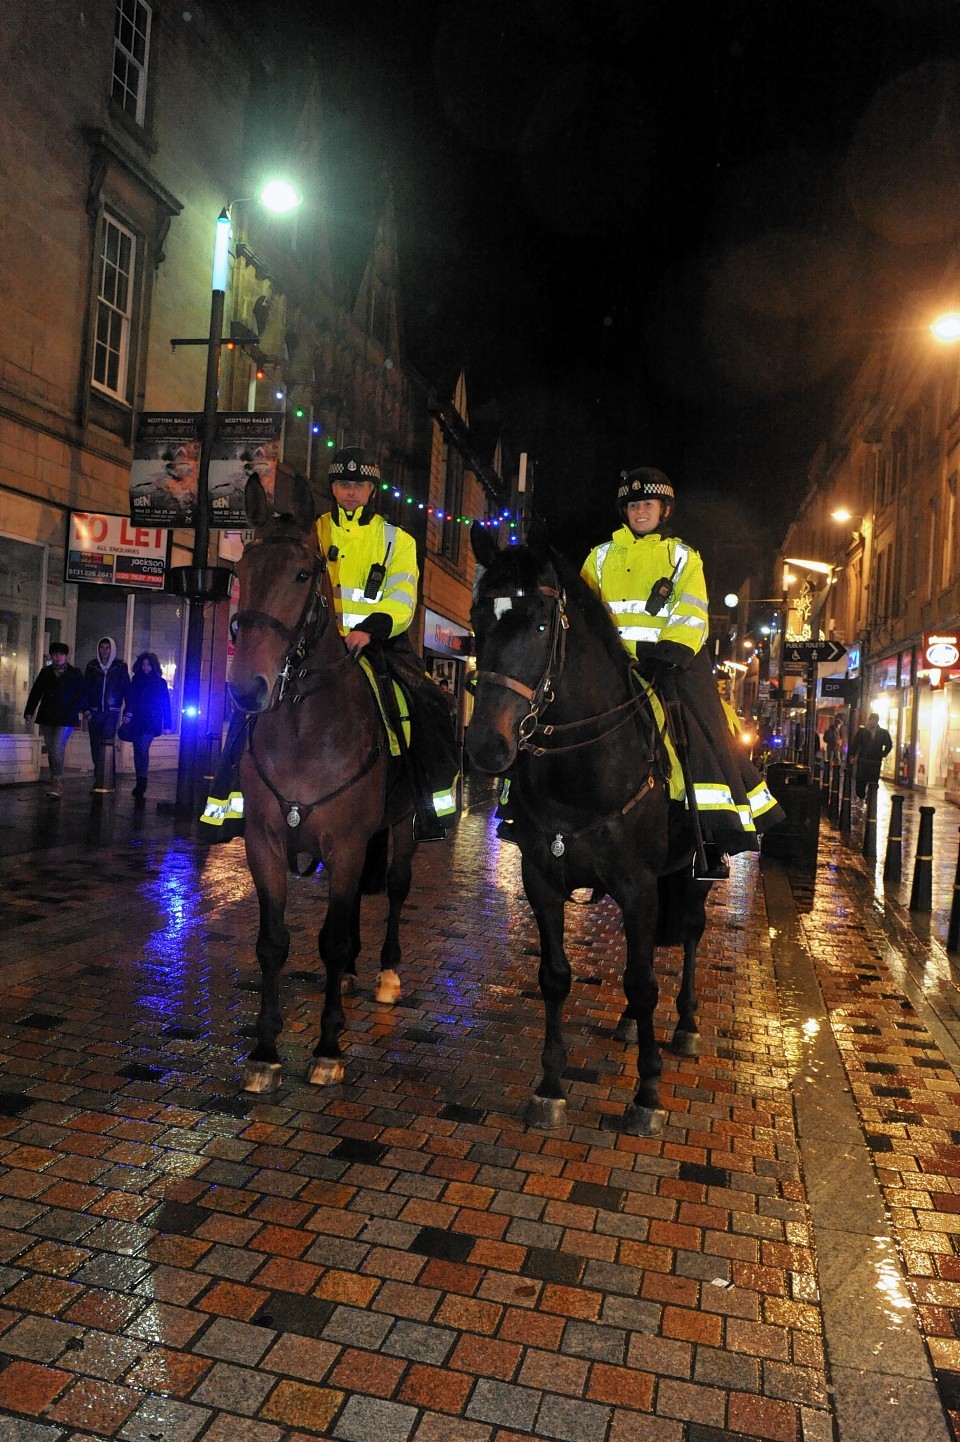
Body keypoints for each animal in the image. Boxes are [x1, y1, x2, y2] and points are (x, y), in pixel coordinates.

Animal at [227, 472, 418, 1090]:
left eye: (302, 573)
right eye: (240, 572)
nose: (248, 688)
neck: (305, 730)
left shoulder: (348, 843)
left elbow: (330, 942)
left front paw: (328, 1047)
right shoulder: (263, 842)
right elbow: (272, 944)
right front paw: (265, 1050)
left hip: (402, 829)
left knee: (397, 889)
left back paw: (385, 975)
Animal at [467, 522, 706, 1136]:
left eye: (541, 624)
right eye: (479, 619)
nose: (487, 747)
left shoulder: (638, 886)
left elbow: (644, 984)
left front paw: (648, 1092)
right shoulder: (541, 880)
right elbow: (556, 976)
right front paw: (550, 1085)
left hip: (697, 874)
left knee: (691, 937)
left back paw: (686, 1025)